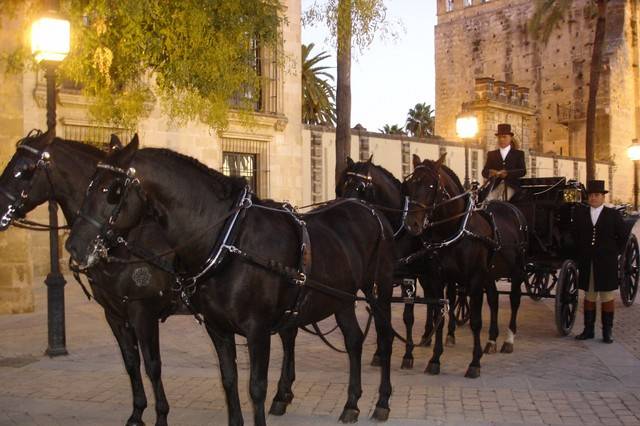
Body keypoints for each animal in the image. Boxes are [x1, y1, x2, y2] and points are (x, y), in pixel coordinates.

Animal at [0, 131, 175, 424]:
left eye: (23, 170)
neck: (123, 239)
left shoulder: (143, 312)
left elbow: (153, 366)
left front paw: (161, 415)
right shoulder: (114, 314)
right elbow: (131, 362)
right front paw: (137, 412)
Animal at [65, 137, 396, 426]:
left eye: (113, 190)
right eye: (89, 185)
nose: (74, 246)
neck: (229, 242)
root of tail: (369, 209)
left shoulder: (256, 330)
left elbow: (256, 388)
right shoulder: (217, 328)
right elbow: (229, 380)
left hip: (378, 290)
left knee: (385, 338)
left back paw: (382, 402)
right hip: (341, 299)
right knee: (354, 340)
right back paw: (352, 403)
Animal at [402, 156, 528, 376]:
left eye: (431, 186)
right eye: (410, 185)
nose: (412, 224)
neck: (454, 230)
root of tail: (512, 209)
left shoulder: (475, 279)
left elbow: (476, 322)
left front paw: (474, 363)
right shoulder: (437, 279)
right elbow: (440, 316)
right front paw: (435, 359)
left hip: (516, 270)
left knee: (514, 299)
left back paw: (508, 339)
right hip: (490, 274)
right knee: (494, 300)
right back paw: (491, 340)